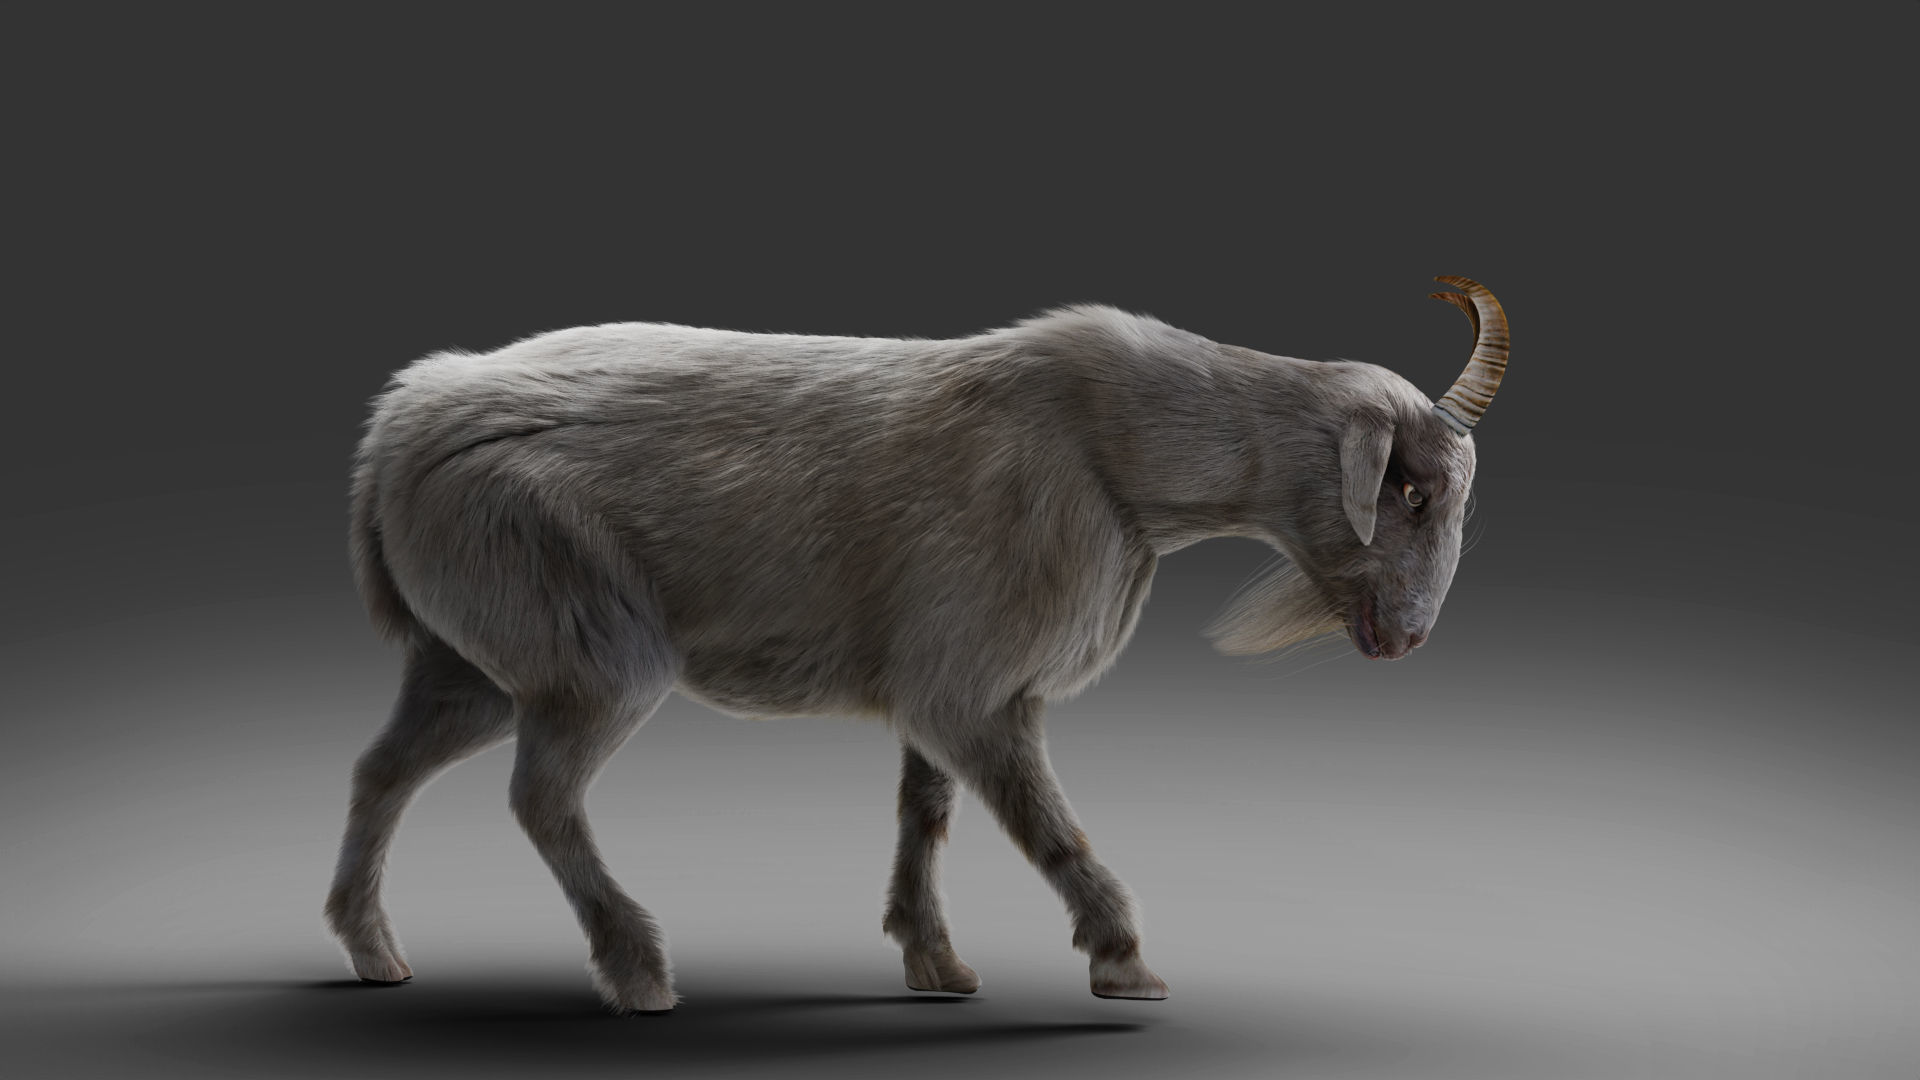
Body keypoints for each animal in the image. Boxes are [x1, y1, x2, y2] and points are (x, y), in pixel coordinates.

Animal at [324, 276, 1511, 1012]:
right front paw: (1126, 961)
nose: (1408, 637)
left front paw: (935, 961)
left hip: (470, 659)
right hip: (588, 646)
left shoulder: (938, 685)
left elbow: (925, 813)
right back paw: (638, 969)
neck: (1123, 455)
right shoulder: (974, 688)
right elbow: (1045, 825)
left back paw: (373, 949)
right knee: (540, 795)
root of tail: (395, 430)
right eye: (1406, 490)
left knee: (383, 768)